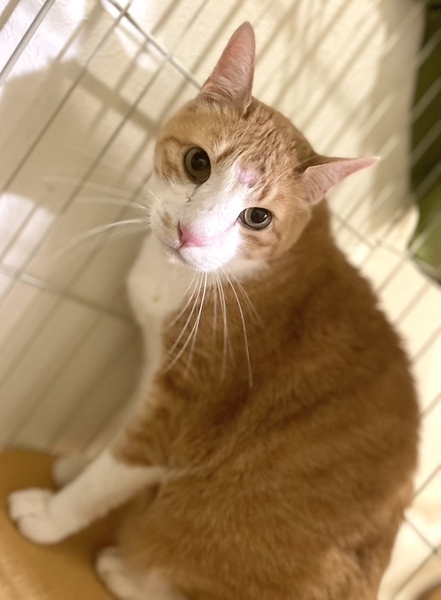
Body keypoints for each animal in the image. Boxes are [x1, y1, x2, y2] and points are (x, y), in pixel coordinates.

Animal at [8, 22, 419, 600]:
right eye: (197, 163)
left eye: (257, 217)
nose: (190, 234)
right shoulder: (156, 367)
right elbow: (120, 429)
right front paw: (79, 463)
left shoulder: (187, 410)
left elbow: (118, 469)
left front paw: (52, 513)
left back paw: (123, 570)